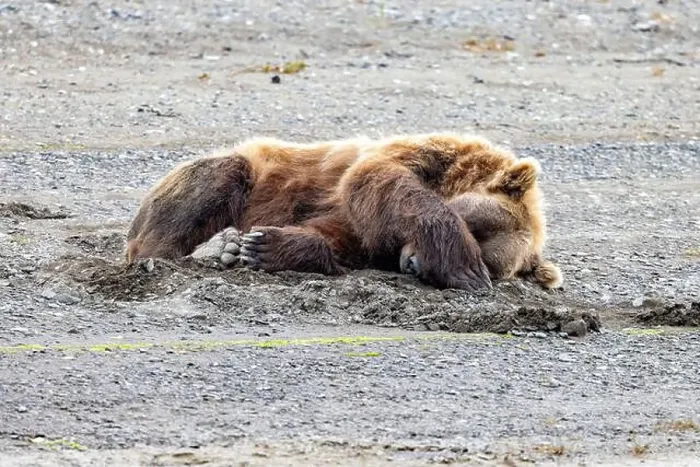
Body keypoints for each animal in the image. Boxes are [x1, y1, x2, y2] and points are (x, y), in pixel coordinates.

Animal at [125, 133, 562, 292]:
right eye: (474, 228)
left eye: (494, 264)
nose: (415, 264)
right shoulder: (423, 155)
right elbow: (372, 178)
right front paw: (463, 269)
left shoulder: (369, 235)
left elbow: (335, 237)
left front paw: (266, 247)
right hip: (237, 168)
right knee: (218, 179)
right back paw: (202, 250)